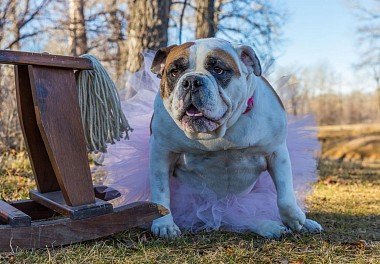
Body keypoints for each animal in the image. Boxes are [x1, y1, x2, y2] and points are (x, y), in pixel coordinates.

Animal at [148, 38, 320, 238]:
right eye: (174, 72)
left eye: (218, 70)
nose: (191, 81)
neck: (220, 132)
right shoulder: (161, 153)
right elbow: (160, 193)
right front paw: (164, 225)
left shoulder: (276, 151)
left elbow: (285, 193)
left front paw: (295, 218)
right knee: (233, 216)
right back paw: (269, 226)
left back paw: (295, 224)